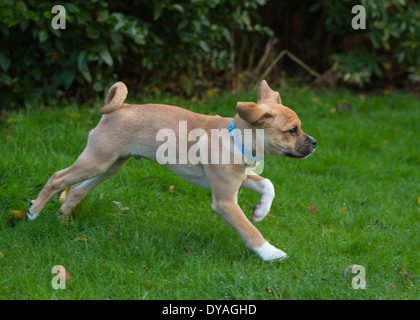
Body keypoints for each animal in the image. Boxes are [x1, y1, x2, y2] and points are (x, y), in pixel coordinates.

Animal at [27, 79, 316, 260]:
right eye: (292, 130)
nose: (314, 143)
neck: (237, 138)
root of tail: (120, 107)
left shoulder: (240, 178)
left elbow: (267, 184)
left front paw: (260, 211)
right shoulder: (224, 200)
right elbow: (249, 231)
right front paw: (271, 252)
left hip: (110, 165)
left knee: (76, 189)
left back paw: (62, 222)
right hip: (96, 161)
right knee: (58, 178)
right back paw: (33, 211)